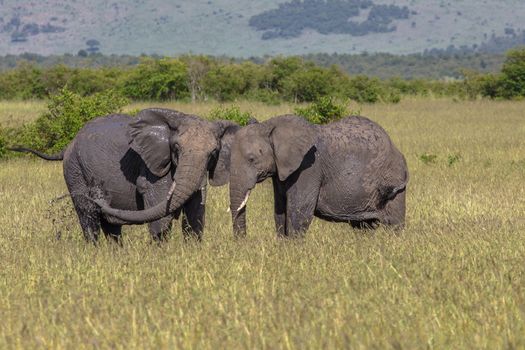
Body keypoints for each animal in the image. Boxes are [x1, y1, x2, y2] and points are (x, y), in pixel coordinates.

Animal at [12, 108, 241, 242]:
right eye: (175, 148)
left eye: (213, 153)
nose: (99, 192)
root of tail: (68, 145)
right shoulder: (152, 166)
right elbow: (161, 213)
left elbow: (196, 214)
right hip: (74, 170)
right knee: (89, 218)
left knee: (111, 227)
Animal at [227, 115, 408, 238]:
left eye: (252, 159)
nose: (243, 243)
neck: (270, 126)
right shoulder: (280, 171)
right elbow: (279, 211)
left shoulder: (309, 167)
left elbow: (300, 211)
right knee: (364, 227)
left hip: (393, 181)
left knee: (393, 224)